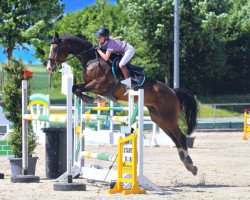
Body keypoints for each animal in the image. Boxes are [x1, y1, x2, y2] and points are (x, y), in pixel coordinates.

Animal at [46, 32, 199, 175]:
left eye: (56, 48)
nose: (49, 68)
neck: (91, 59)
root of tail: (173, 91)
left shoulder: (98, 85)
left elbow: (79, 89)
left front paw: (93, 99)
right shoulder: (88, 83)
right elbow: (75, 88)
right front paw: (92, 99)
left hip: (168, 116)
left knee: (181, 137)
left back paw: (190, 164)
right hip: (158, 117)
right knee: (174, 137)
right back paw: (187, 163)